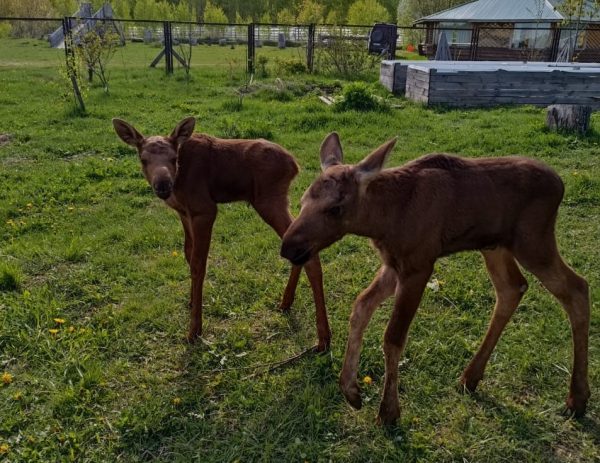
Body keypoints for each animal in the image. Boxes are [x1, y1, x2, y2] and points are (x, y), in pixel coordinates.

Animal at [112, 117, 332, 352]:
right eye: (143, 159)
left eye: (174, 158)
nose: (163, 185)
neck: (179, 183)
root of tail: (295, 165)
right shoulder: (184, 213)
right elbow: (188, 254)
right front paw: (191, 301)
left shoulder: (204, 210)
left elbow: (199, 264)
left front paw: (195, 329)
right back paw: (286, 302)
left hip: (268, 200)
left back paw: (323, 337)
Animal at [282, 132, 592, 426]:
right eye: (302, 200)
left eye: (335, 207)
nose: (288, 248)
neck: (384, 220)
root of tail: (561, 184)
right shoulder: (393, 265)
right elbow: (360, 307)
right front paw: (351, 390)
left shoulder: (419, 265)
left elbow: (393, 336)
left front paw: (389, 411)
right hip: (495, 246)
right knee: (512, 288)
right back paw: (471, 377)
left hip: (533, 241)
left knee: (577, 287)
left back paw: (577, 397)